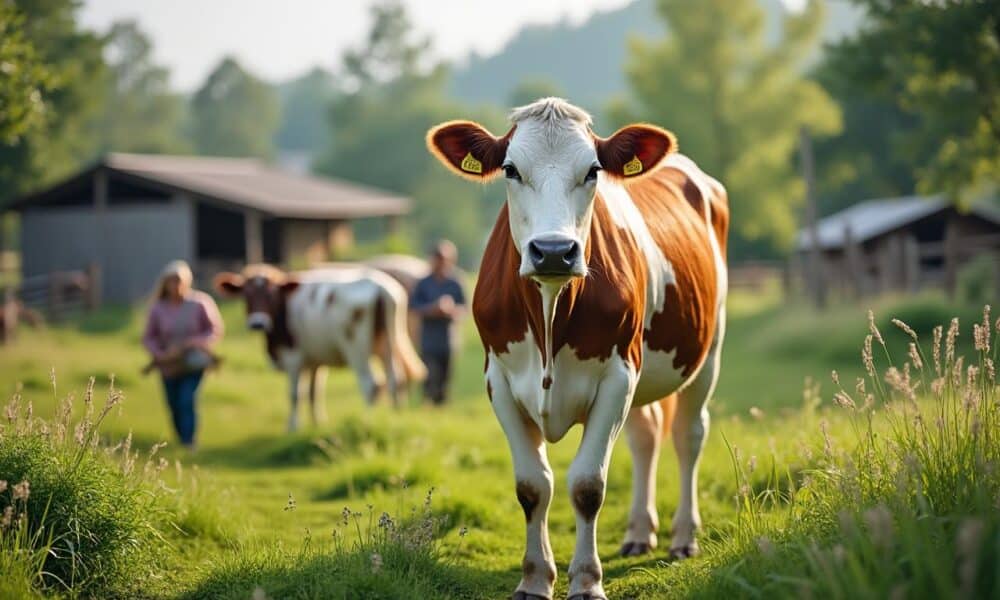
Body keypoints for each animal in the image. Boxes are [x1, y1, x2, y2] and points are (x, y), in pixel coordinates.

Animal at [214, 264, 426, 431]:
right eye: (246, 294)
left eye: (271, 294)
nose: (258, 323)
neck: (284, 306)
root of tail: (380, 288)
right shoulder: (316, 360)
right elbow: (313, 392)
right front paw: (317, 423)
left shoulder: (293, 358)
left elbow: (295, 394)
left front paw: (293, 427)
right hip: (388, 342)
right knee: (395, 379)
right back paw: (395, 416)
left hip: (356, 347)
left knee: (371, 384)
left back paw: (368, 421)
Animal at [426, 98, 728, 599]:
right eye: (510, 169)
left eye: (592, 171)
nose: (553, 251)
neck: (550, 314)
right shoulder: (500, 382)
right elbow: (532, 486)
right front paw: (534, 579)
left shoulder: (618, 376)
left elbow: (588, 485)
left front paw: (586, 580)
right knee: (646, 436)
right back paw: (639, 532)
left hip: (707, 352)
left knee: (688, 435)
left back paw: (683, 537)